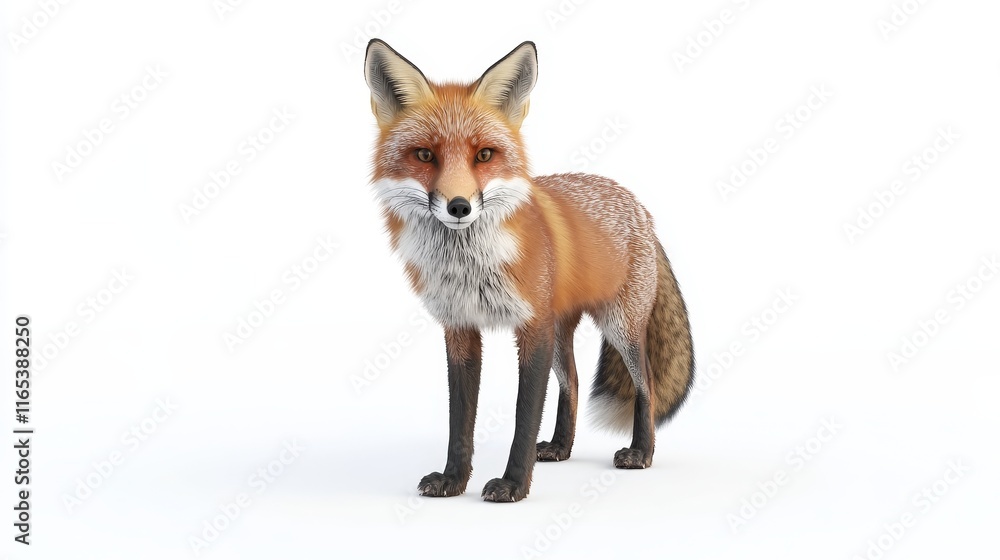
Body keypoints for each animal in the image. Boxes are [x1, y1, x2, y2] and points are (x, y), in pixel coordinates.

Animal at [363, 39, 694, 502]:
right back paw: (560, 447)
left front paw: (514, 485)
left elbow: (524, 416)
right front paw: (453, 480)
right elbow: (459, 420)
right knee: (573, 381)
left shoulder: (533, 327)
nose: (459, 206)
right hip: (562, 330)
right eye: (425, 155)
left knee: (644, 381)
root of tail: (641, 210)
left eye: (484, 155)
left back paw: (640, 452)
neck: (468, 267)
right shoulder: (460, 328)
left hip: (619, 326)